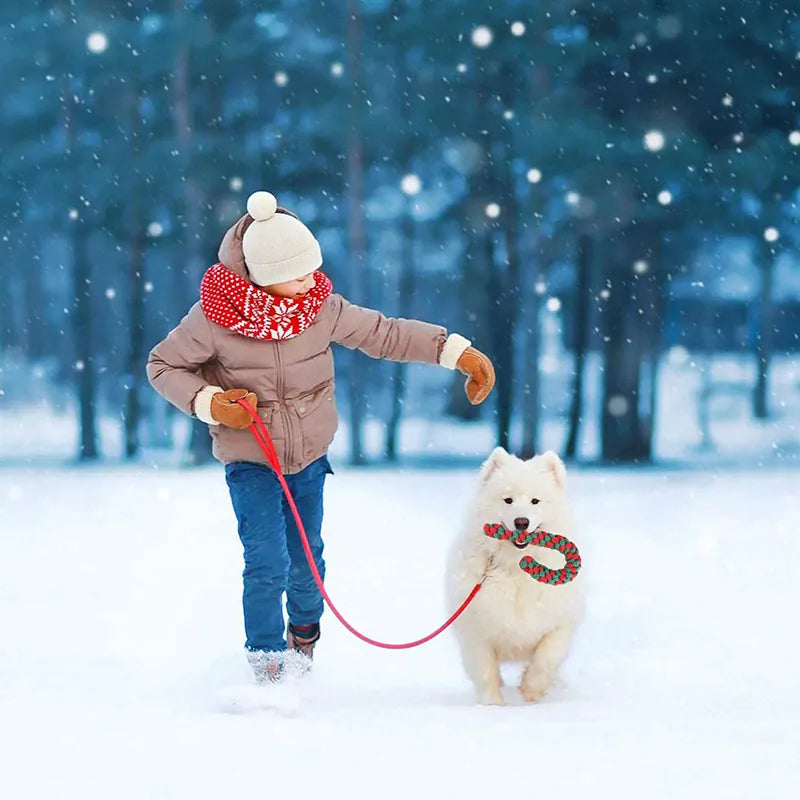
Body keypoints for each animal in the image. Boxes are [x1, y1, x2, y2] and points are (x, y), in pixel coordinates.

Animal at [446, 446, 584, 704]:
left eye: (535, 501)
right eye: (508, 500)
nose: (521, 522)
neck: (516, 566)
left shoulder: (559, 622)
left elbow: (546, 658)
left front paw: (531, 691)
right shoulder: (476, 630)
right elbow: (485, 670)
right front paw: (492, 704)